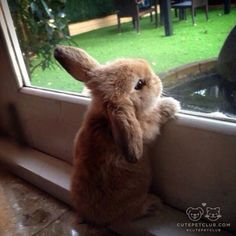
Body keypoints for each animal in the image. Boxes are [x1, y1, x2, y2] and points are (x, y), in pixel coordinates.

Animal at [54, 45, 181, 230]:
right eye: (139, 84)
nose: (157, 79)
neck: (106, 119)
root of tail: (90, 218)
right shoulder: (146, 126)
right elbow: (155, 114)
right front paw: (171, 105)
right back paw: (152, 204)